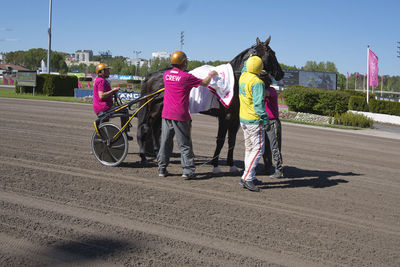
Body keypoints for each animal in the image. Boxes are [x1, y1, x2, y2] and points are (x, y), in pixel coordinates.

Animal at [136, 35, 282, 173]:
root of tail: (151, 75)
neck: (235, 80)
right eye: (273, 53)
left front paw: (231, 165)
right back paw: (143, 156)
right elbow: (221, 140)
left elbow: (232, 140)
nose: (281, 73)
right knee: (146, 127)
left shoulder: (235, 118)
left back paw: (157, 153)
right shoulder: (225, 117)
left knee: (155, 128)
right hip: (155, 108)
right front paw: (215, 165)